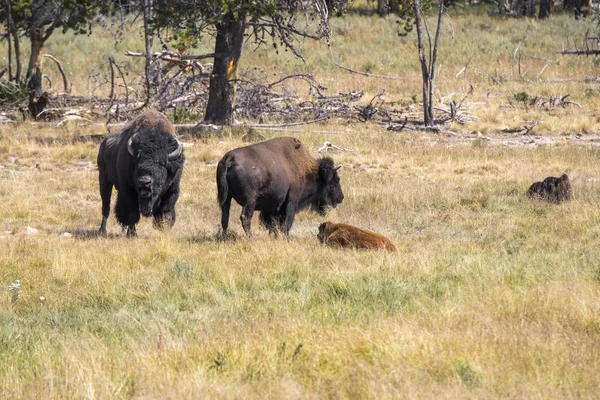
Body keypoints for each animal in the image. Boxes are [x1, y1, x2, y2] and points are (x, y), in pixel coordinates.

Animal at [96, 109, 183, 238]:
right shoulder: (128, 190)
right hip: (104, 180)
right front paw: (132, 234)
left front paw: (164, 229)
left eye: (162, 163)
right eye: (137, 161)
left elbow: (166, 212)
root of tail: (104, 143)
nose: (144, 182)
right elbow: (132, 212)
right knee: (106, 207)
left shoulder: (172, 190)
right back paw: (102, 230)